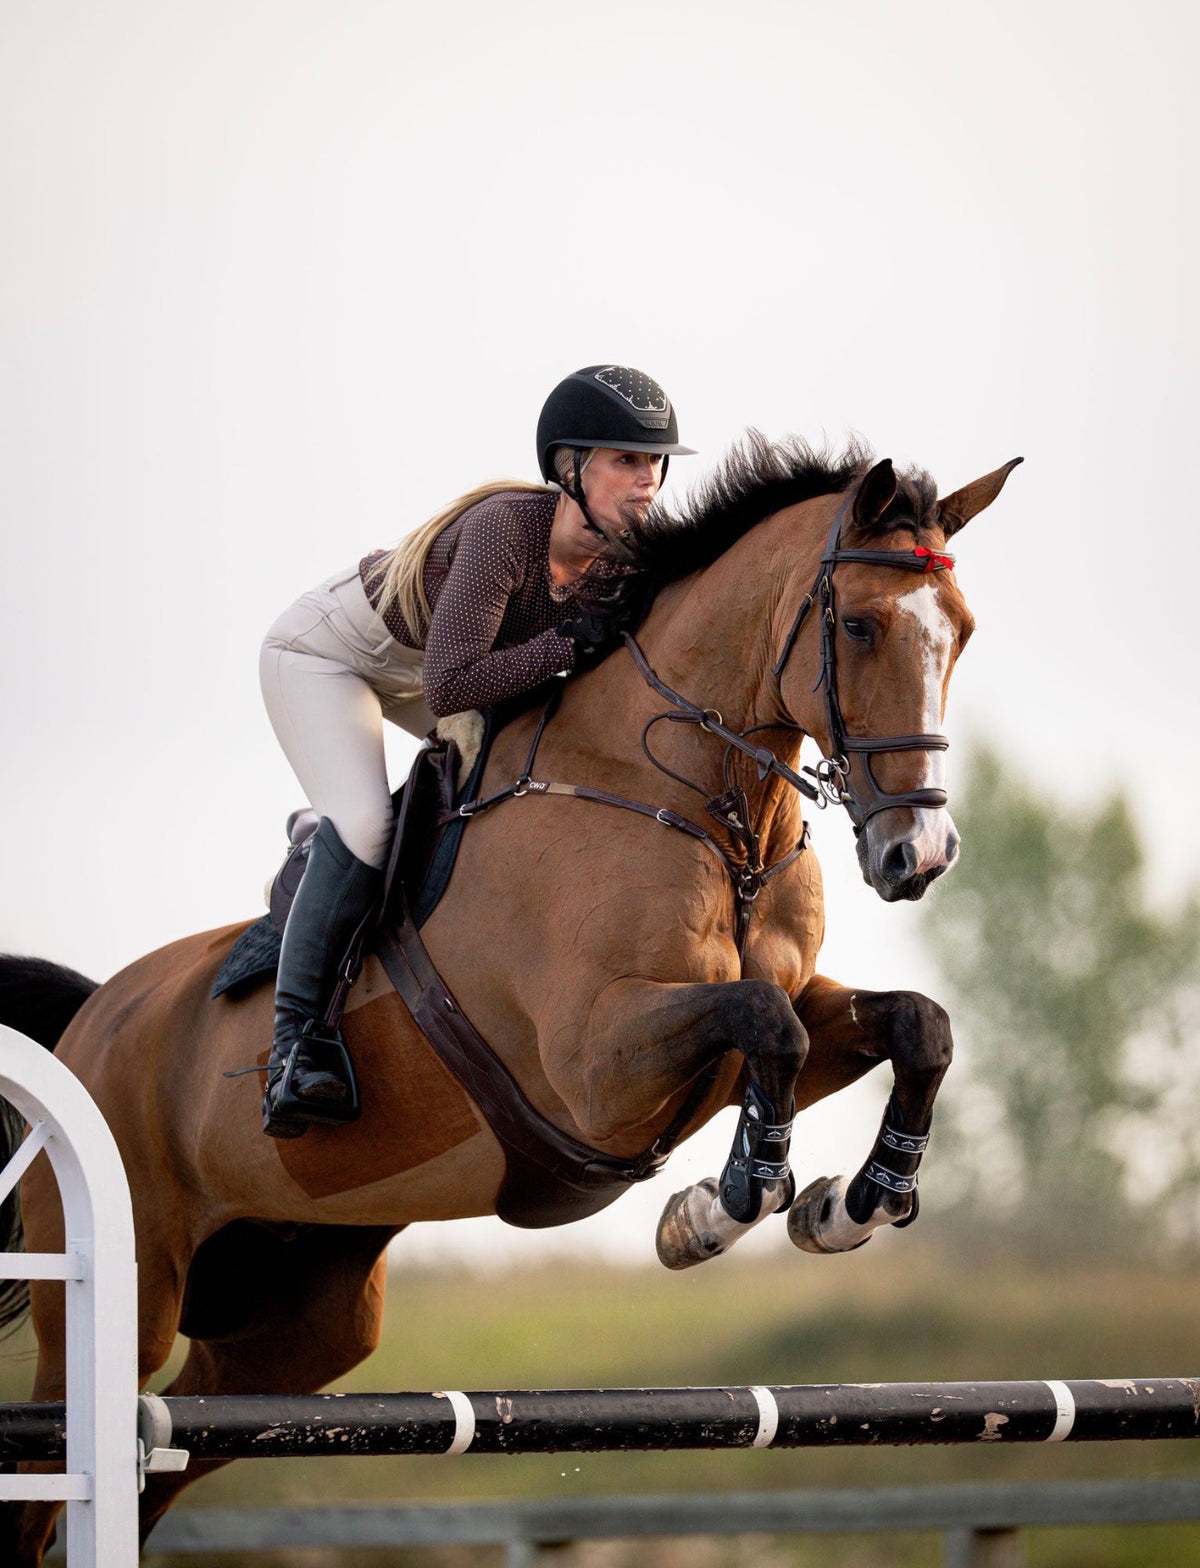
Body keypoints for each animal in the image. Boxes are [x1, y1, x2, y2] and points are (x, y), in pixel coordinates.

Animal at [0, 434, 1020, 1560]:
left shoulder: (772, 1014)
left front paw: (855, 1202)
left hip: (295, 1324)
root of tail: (93, 1017)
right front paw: (721, 1206)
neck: (702, 809)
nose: (918, 854)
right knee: (55, 1474)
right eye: (859, 625)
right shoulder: (596, 1069)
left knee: (173, 1446)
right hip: (124, 1291)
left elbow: (912, 1023)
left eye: (962, 634)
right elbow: (769, 1029)